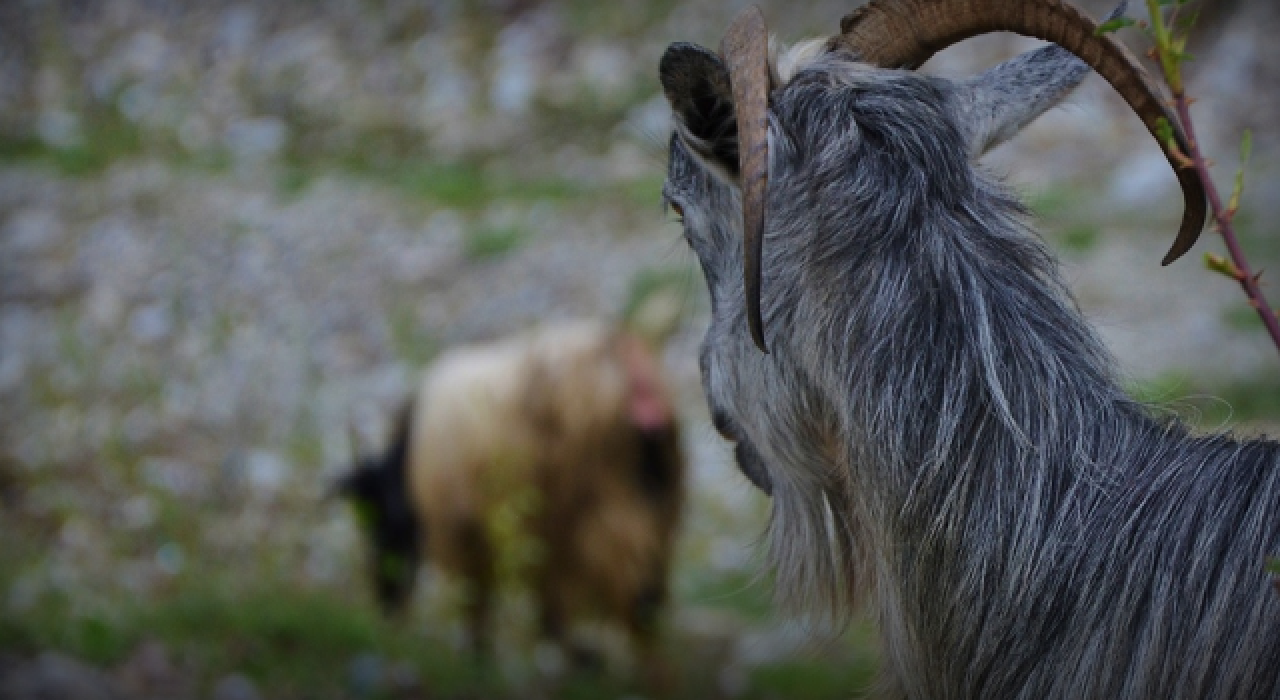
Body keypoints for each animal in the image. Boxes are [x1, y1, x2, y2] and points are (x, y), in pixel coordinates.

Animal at [335, 319, 686, 670]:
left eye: (374, 525)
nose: (385, 608)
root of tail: (626, 366)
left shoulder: (466, 531)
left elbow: (478, 597)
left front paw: (479, 654)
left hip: (598, 498)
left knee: (631, 583)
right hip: (657, 489)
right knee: (648, 576)